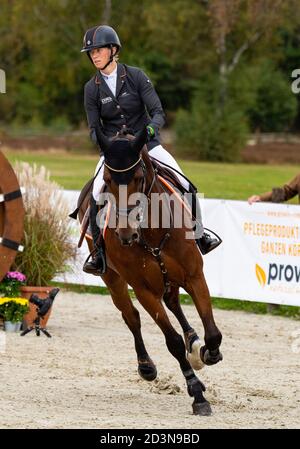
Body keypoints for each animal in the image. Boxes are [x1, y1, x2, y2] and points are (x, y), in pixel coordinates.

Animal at [77, 125, 223, 412]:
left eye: (137, 177)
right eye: (108, 180)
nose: (125, 234)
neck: (153, 232)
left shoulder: (194, 276)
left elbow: (212, 332)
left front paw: (207, 352)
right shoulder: (144, 290)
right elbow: (172, 342)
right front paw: (197, 393)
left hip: (169, 277)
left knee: (173, 302)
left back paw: (193, 341)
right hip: (113, 279)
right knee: (131, 316)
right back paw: (146, 366)